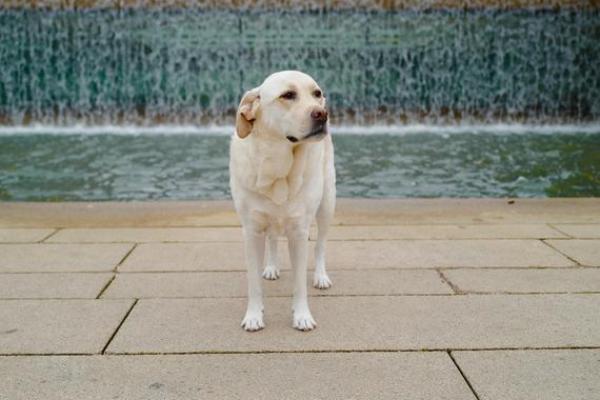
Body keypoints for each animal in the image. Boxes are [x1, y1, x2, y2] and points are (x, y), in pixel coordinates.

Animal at [230, 71, 336, 332]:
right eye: (288, 95)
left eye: (316, 93)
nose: (322, 113)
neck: (278, 166)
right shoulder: (252, 230)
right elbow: (253, 283)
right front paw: (254, 316)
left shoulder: (299, 231)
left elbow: (299, 283)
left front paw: (302, 316)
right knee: (272, 238)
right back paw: (270, 267)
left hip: (327, 203)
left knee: (320, 245)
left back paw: (320, 276)